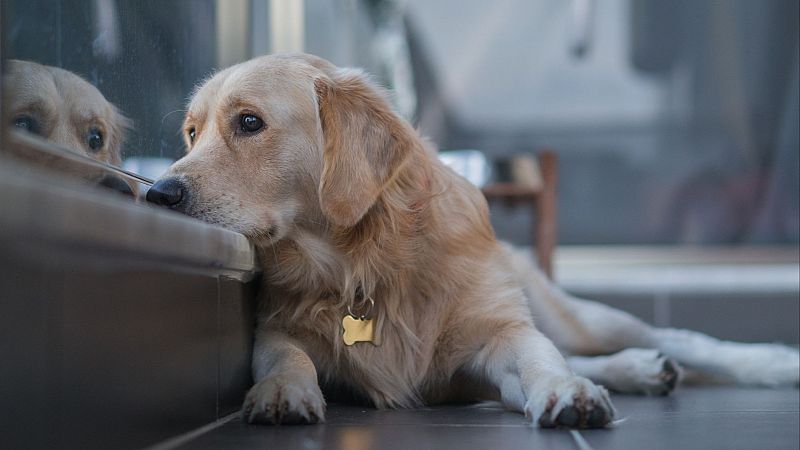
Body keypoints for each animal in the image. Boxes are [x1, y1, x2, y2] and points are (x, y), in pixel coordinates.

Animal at [147, 53, 796, 428]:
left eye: (249, 122)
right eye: (192, 132)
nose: (158, 193)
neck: (363, 263)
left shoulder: (497, 335)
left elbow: (538, 358)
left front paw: (566, 391)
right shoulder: (277, 327)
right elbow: (286, 356)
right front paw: (282, 391)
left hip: (571, 314)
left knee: (668, 337)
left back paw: (765, 362)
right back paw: (639, 370)